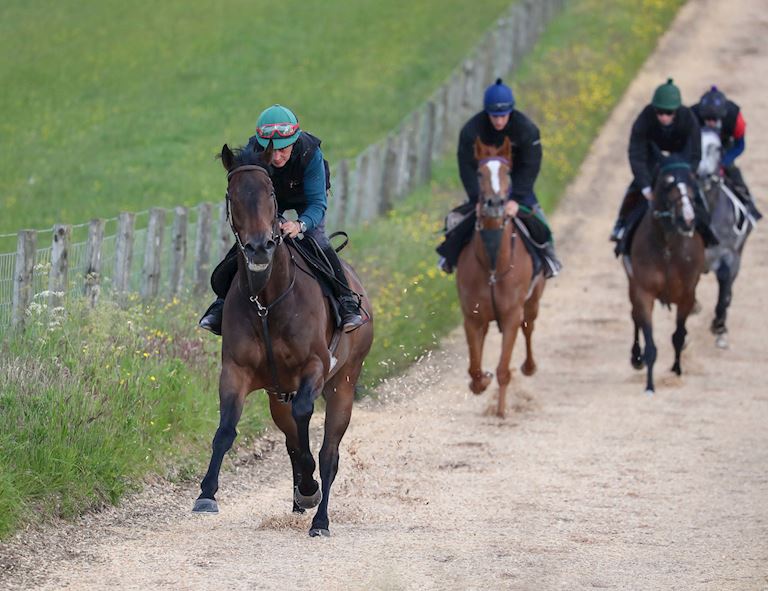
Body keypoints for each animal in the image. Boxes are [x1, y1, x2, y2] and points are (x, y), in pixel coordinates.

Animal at [190, 146, 374, 540]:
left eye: (271, 193)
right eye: (232, 196)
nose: (260, 247)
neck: (267, 301)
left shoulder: (315, 368)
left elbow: (307, 423)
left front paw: (309, 485)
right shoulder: (236, 370)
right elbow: (225, 430)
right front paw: (206, 493)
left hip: (344, 381)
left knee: (329, 452)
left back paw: (319, 516)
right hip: (277, 395)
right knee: (291, 440)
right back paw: (300, 498)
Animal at [456, 138, 544, 418]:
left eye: (507, 172)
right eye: (479, 173)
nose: (494, 203)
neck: (493, 265)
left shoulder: (511, 315)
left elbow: (504, 369)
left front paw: (502, 411)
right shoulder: (472, 316)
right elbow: (474, 368)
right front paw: (482, 380)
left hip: (533, 301)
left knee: (529, 327)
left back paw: (529, 366)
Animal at [628, 157, 704, 396]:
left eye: (692, 182)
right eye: (667, 185)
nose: (688, 219)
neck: (667, 246)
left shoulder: (687, 294)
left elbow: (678, 336)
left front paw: (677, 369)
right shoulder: (644, 291)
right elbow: (650, 343)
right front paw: (650, 386)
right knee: (634, 316)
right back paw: (636, 357)